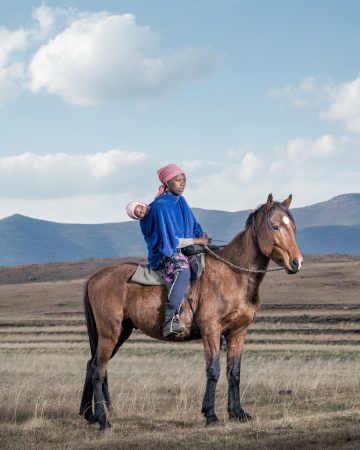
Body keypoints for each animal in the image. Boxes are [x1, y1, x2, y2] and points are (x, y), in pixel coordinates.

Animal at [79, 192, 304, 428]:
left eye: (293, 227)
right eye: (274, 226)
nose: (296, 262)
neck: (234, 275)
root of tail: (95, 278)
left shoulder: (238, 332)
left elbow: (234, 372)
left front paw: (238, 413)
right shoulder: (211, 330)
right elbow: (213, 370)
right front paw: (211, 415)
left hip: (121, 332)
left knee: (92, 365)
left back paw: (89, 415)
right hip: (110, 333)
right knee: (98, 369)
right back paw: (103, 421)